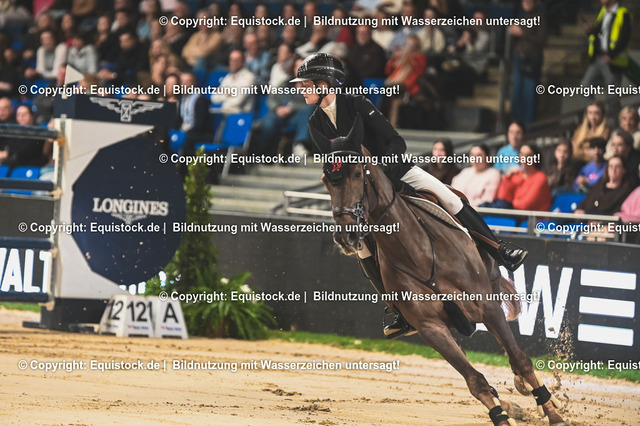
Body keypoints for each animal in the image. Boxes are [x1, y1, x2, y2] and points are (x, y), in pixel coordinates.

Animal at [313, 116, 568, 426]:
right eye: (326, 180)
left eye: (357, 174)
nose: (346, 236)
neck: (418, 253)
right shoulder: (431, 328)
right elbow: (476, 381)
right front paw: (501, 414)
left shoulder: (487, 308)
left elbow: (520, 358)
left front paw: (553, 414)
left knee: (514, 354)